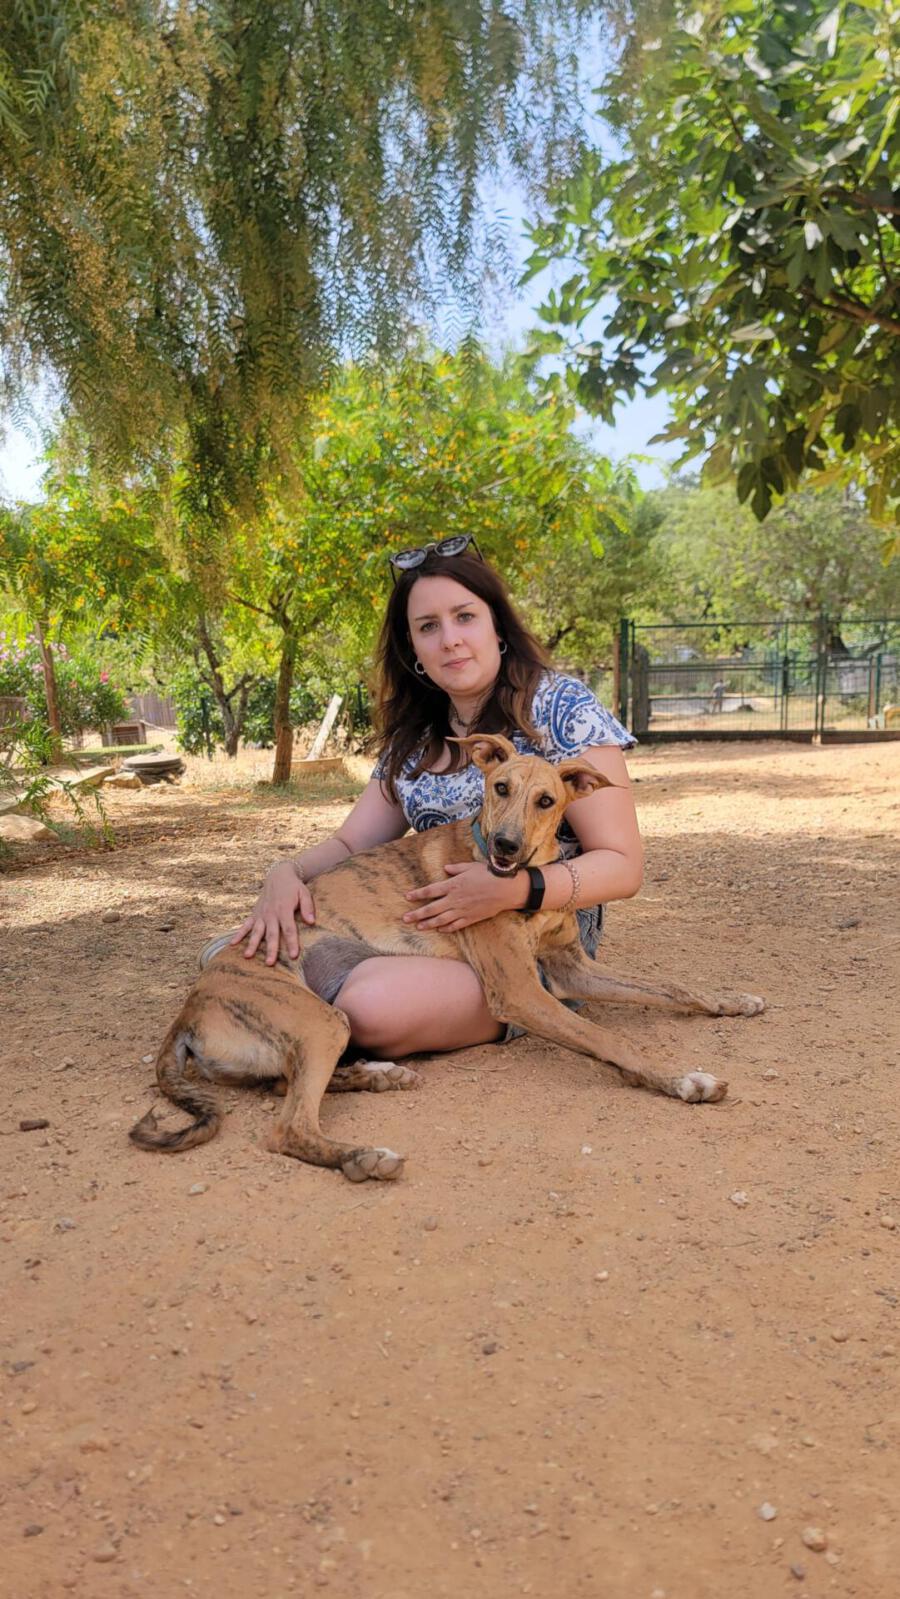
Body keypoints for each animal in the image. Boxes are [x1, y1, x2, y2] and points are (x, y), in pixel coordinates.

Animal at [129, 735, 764, 1180]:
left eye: (547, 801)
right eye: (499, 787)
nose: (506, 846)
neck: (522, 880)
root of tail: (190, 1009)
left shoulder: (569, 969)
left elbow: (675, 988)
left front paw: (732, 1001)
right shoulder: (523, 990)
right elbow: (610, 1038)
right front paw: (681, 1080)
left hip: (313, 1029)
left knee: (283, 1085)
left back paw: (378, 1076)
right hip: (316, 1018)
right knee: (286, 1127)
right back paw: (363, 1156)